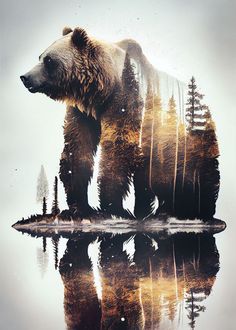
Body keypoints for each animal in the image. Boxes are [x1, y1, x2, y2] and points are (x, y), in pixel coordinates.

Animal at [20, 26, 157, 219]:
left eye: (49, 60)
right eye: (40, 56)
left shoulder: (123, 101)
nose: (25, 77)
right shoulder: (82, 113)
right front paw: (78, 205)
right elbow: (77, 148)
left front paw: (111, 205)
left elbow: (117, 148)